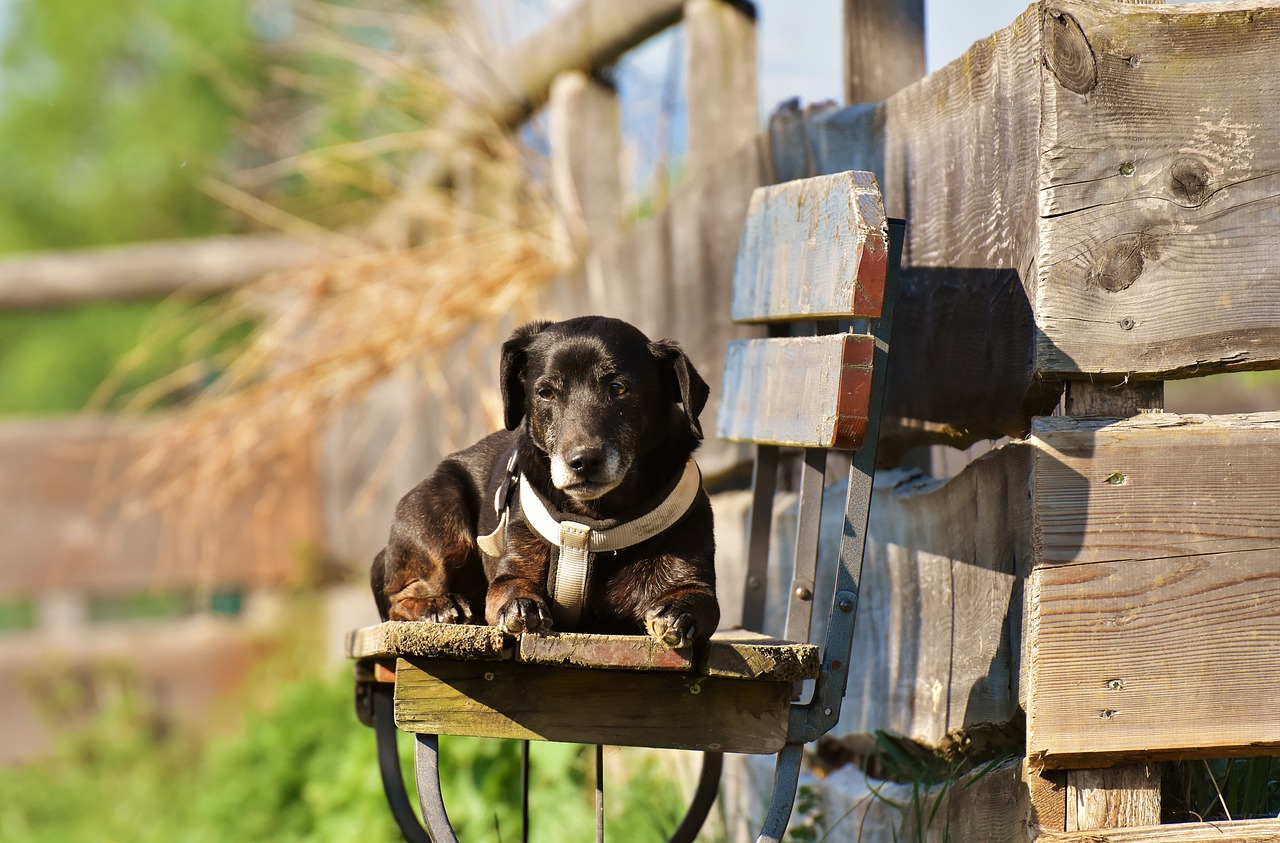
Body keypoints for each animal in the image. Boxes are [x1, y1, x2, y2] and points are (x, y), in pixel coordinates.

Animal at [371, 318, 721, 652]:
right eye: (546, 393)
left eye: (618, 388)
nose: (583, 461)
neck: (592, 520)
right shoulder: (511, 573)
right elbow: (510, 587)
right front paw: (521, 605)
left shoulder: (696, 582)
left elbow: (699, 601)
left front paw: (678, 613)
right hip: (440, 514)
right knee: (398, 598)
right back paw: (438, 605)